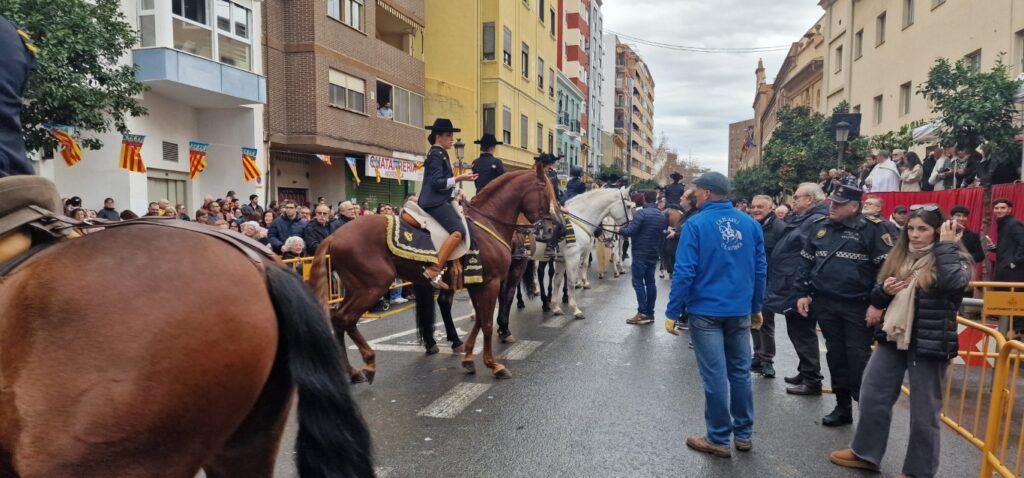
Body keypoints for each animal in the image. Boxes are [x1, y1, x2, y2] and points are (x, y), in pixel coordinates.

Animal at [310, 163, 560, 381]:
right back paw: (368, 363)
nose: (552, 228)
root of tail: (334, 236)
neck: (489, 222)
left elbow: (480, 319)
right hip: (372, 287)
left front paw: (469, 357)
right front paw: (494, 364)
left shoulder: (477, 283)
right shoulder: (491, 282)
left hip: (356, 287)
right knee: (345, 319)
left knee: (339, 319)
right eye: (545, 190)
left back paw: (354, 371)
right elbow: (488, 322)